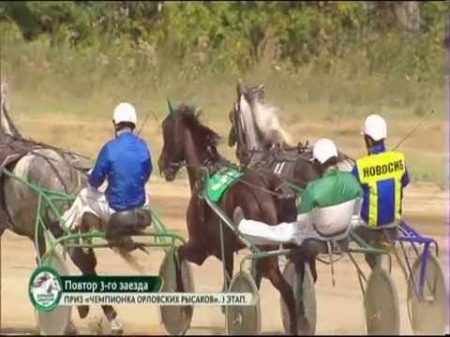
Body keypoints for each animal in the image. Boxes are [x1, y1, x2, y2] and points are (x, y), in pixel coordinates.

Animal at [158, 103, 312, 334]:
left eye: (167, 131)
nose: (162, 165)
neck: (206, 175)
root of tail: (273, 187)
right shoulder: (226, 250)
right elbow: (228, 278)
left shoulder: (202, 247)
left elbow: (178, 253)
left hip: (266, 253)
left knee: (284, 288)